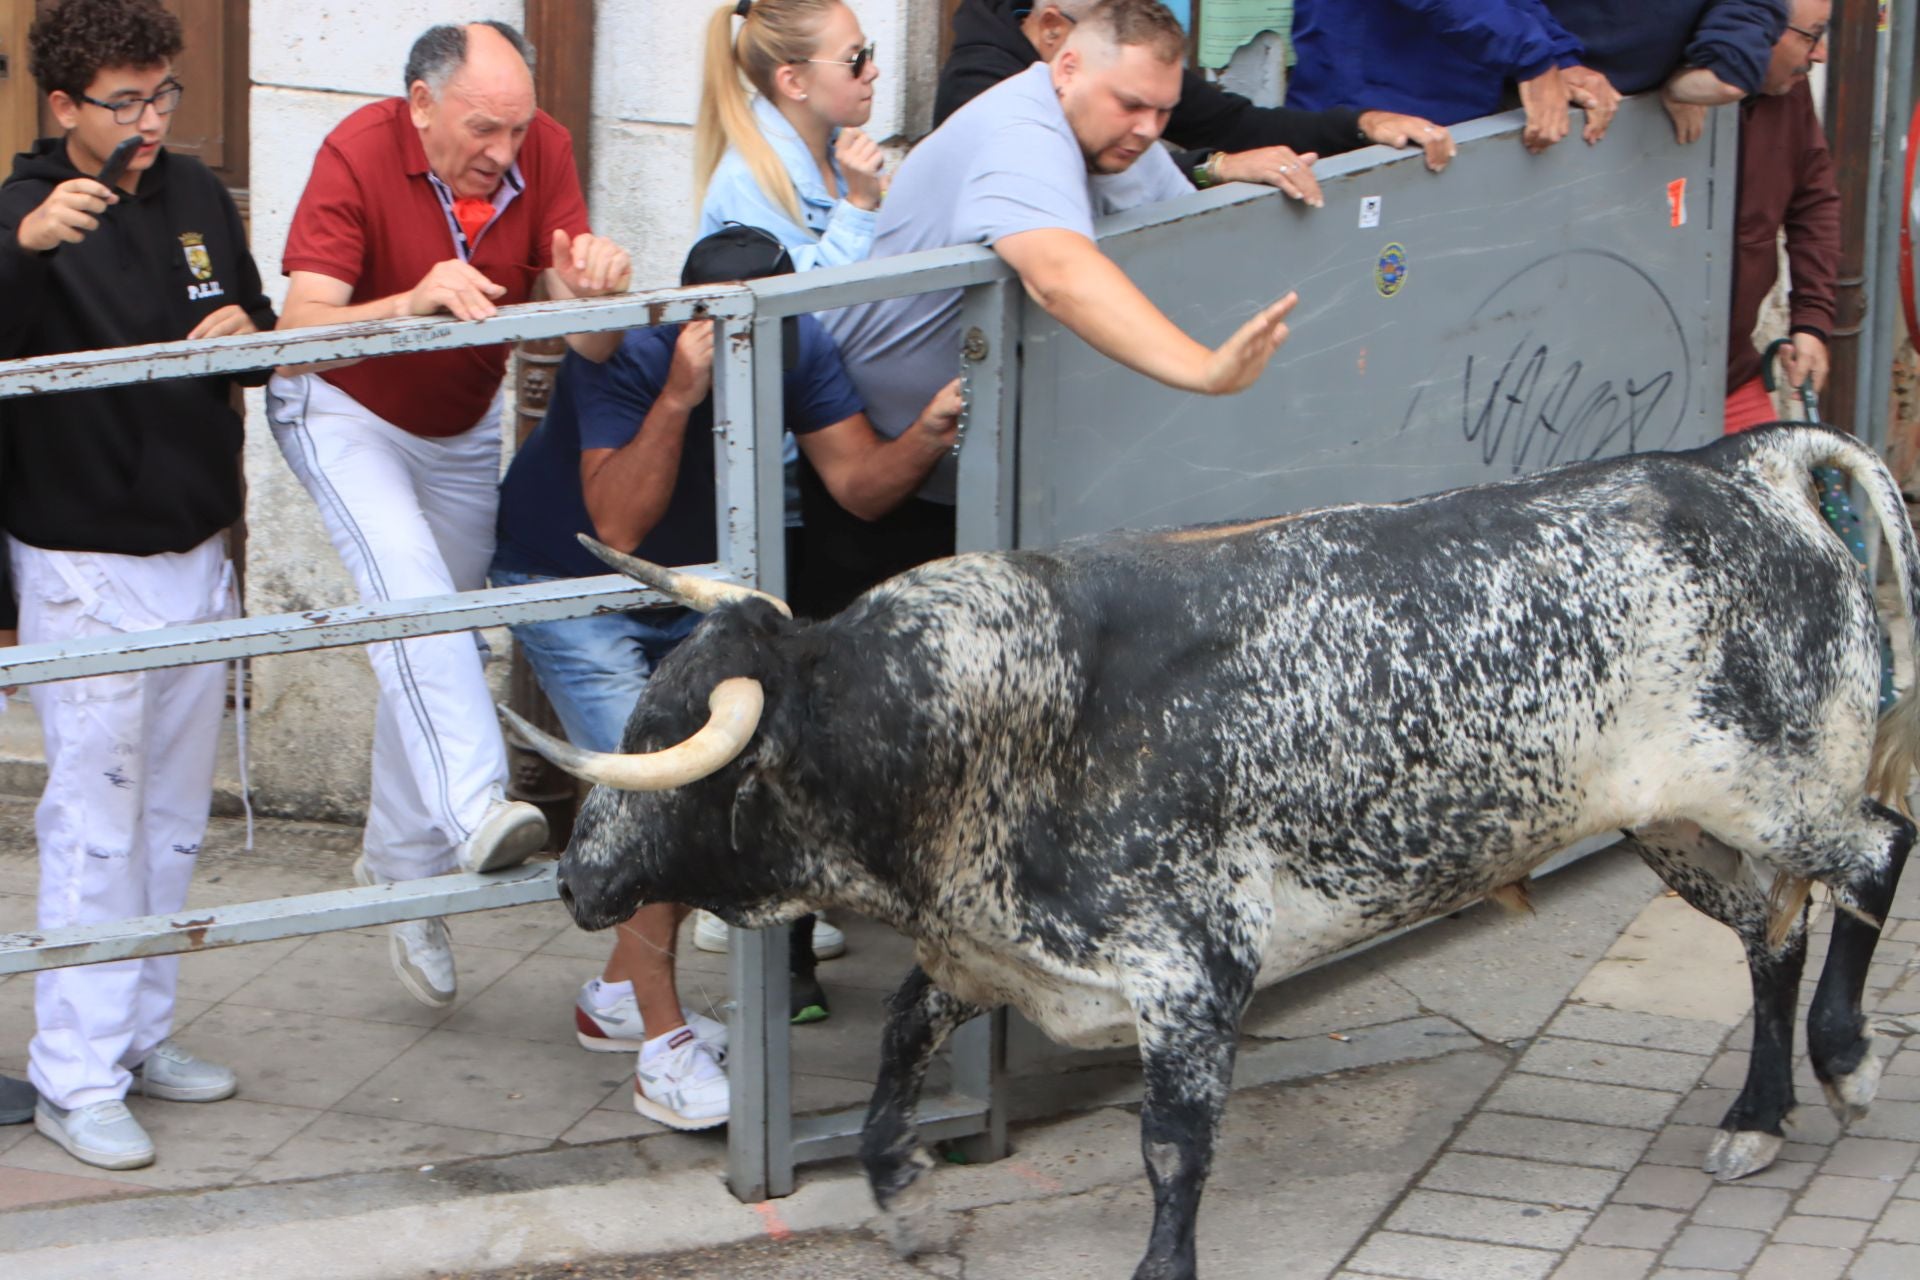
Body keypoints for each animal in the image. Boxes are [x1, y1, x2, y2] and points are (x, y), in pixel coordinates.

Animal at [506, 427, 1920, 1280]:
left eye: (677, 747)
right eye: (634, 718)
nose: (573, 877)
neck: (969, 727)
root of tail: (1745, 463)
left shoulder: (1195, 970)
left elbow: (1174, 1146)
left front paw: (1157, 1262)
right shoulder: (985, 954)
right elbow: (897, 1060)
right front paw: (902, 1203)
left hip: (1775, 793)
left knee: (1874, 852)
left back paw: (1844, 1062)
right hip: (1680, 823)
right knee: (1775, 931)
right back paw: (1757, 1113)